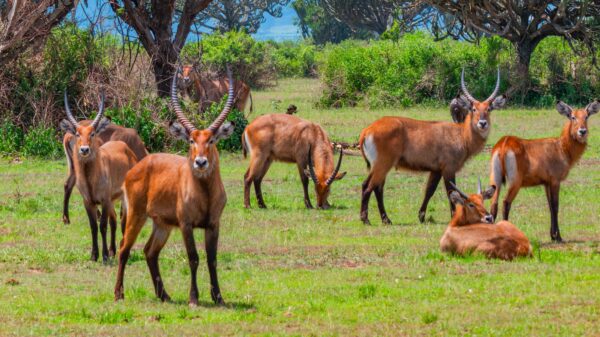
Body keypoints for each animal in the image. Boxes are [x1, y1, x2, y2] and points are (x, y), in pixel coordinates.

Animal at [58, 92, 138, 262]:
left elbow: (103, 226)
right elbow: (93, 226)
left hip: (123, 198)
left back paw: (122, 251)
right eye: (78, 133)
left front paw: (105, 256)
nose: (84, 149)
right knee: (115, 220)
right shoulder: (89, 202)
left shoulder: (105, 200)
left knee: (123, 221)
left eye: (92, 133)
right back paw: (114, 250)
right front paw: (94, 255)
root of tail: (125, 147)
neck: (91, 180)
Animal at [113, 66, 236, 308]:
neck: (205, 193)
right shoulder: (186, 225)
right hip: (136, 216)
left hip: (162, 225)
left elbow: (212, 259)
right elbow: (194, 258)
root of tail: (137, 167)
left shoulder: (213, 225)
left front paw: (218, 298)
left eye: (211, 140)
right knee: (124, 248)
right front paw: (193, 298)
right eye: (191, 140)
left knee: (149, 252)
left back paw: (164, 295)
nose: (200, 162)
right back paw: (118, 294)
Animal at [358, 68, 508, 224]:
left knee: (373, 187)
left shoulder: (436, 170)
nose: (482, 123)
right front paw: (454, 216)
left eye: (489, 109)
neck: (461, 134)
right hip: (383, 164)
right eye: (473, 109)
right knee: (369, 186)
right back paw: (366, 219)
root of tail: (368, 129)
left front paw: (421, 216)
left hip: (380, 165)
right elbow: (451, 193)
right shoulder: (448, 169)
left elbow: (429, 191)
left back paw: (386, 220)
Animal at [488, 100, 600, 242]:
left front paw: (552, 236)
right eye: (573, 117)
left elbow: (550, 206)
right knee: (506, 202)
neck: (563, 148)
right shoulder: (555, 181)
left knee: (494, 204)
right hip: (515, 182)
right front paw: (558, 237)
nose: (582, 131)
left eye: (586, 116)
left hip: (495, 178)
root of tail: (504, 142)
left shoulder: (546, 183)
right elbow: (555, 206)